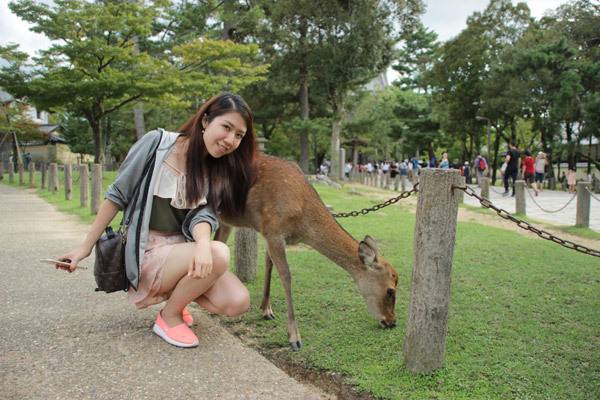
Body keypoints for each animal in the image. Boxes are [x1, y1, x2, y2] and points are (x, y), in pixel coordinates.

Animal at [216, 153, 398, 350]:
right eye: (390, 290)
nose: (392, 322)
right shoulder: (274, 232)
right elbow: (286, 276)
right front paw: (294, 338)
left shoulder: (270, 233)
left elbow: (269, 264)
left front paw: (266, 310)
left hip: (224, 221)